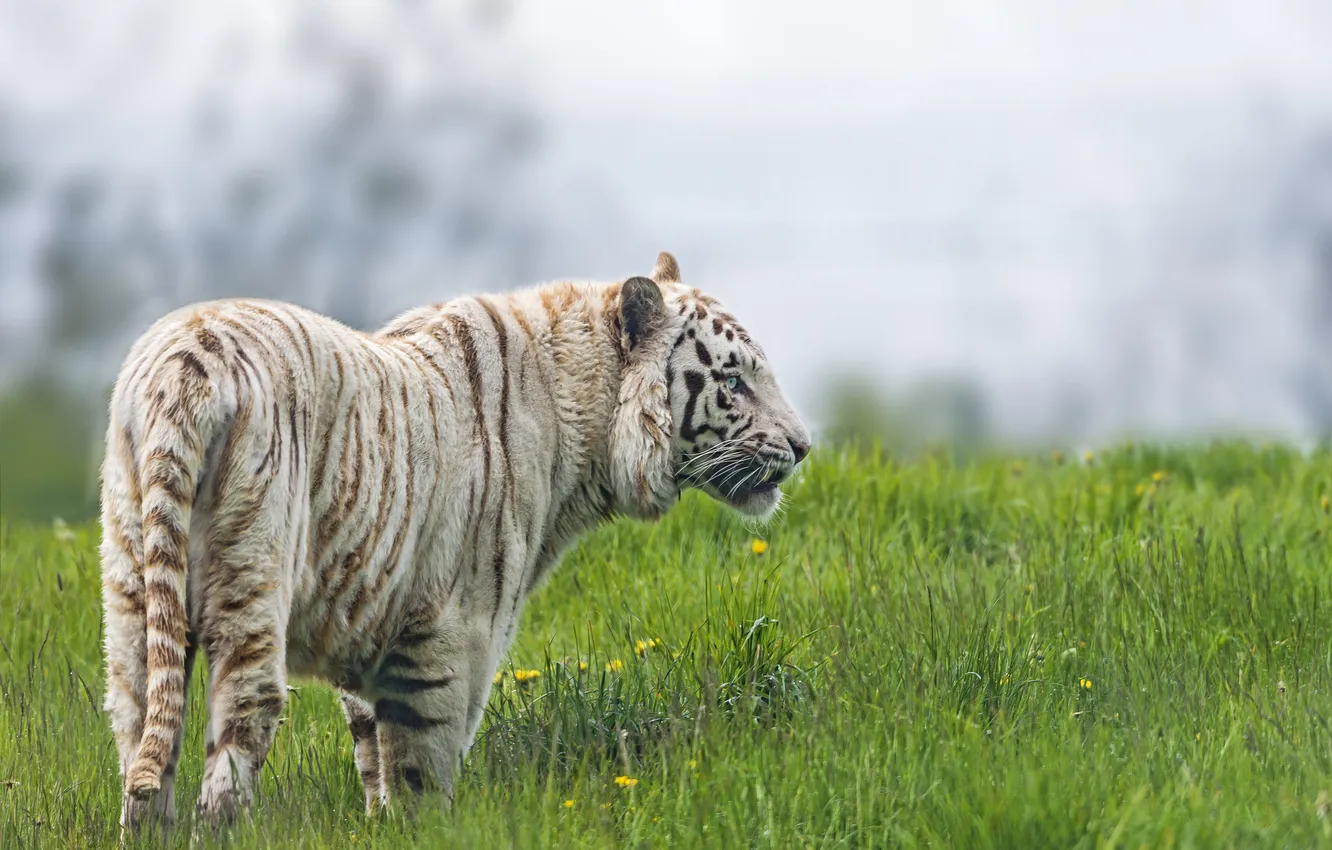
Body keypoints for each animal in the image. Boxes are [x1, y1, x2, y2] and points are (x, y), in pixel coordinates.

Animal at [99, 251, 811, 831]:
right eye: (734, 381)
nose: (804, 447)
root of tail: (183, 365)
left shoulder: (374, 613)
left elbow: (373, 756)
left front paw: (378, 822)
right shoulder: (453, 633)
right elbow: (423, 765)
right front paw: (424, 827)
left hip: (134, 597)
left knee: (142, 741)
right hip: (251, 578)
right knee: (237, 734)